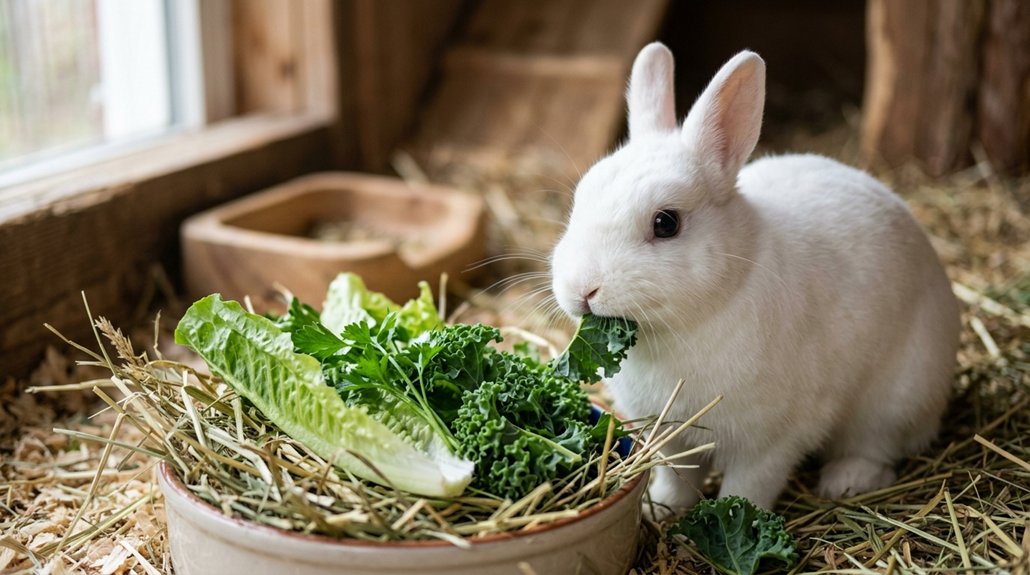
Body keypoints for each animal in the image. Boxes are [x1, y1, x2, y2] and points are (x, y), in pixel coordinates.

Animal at [549, 42, 960, 514]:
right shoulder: (672, 437)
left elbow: (749, 488)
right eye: (580, 199)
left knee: (876, 448)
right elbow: (676, 477)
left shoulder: (772, 442)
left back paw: (846, 481)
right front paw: (662, 509)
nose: (582, 289)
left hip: (894, 401)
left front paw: (729, 516)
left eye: (666, 223)